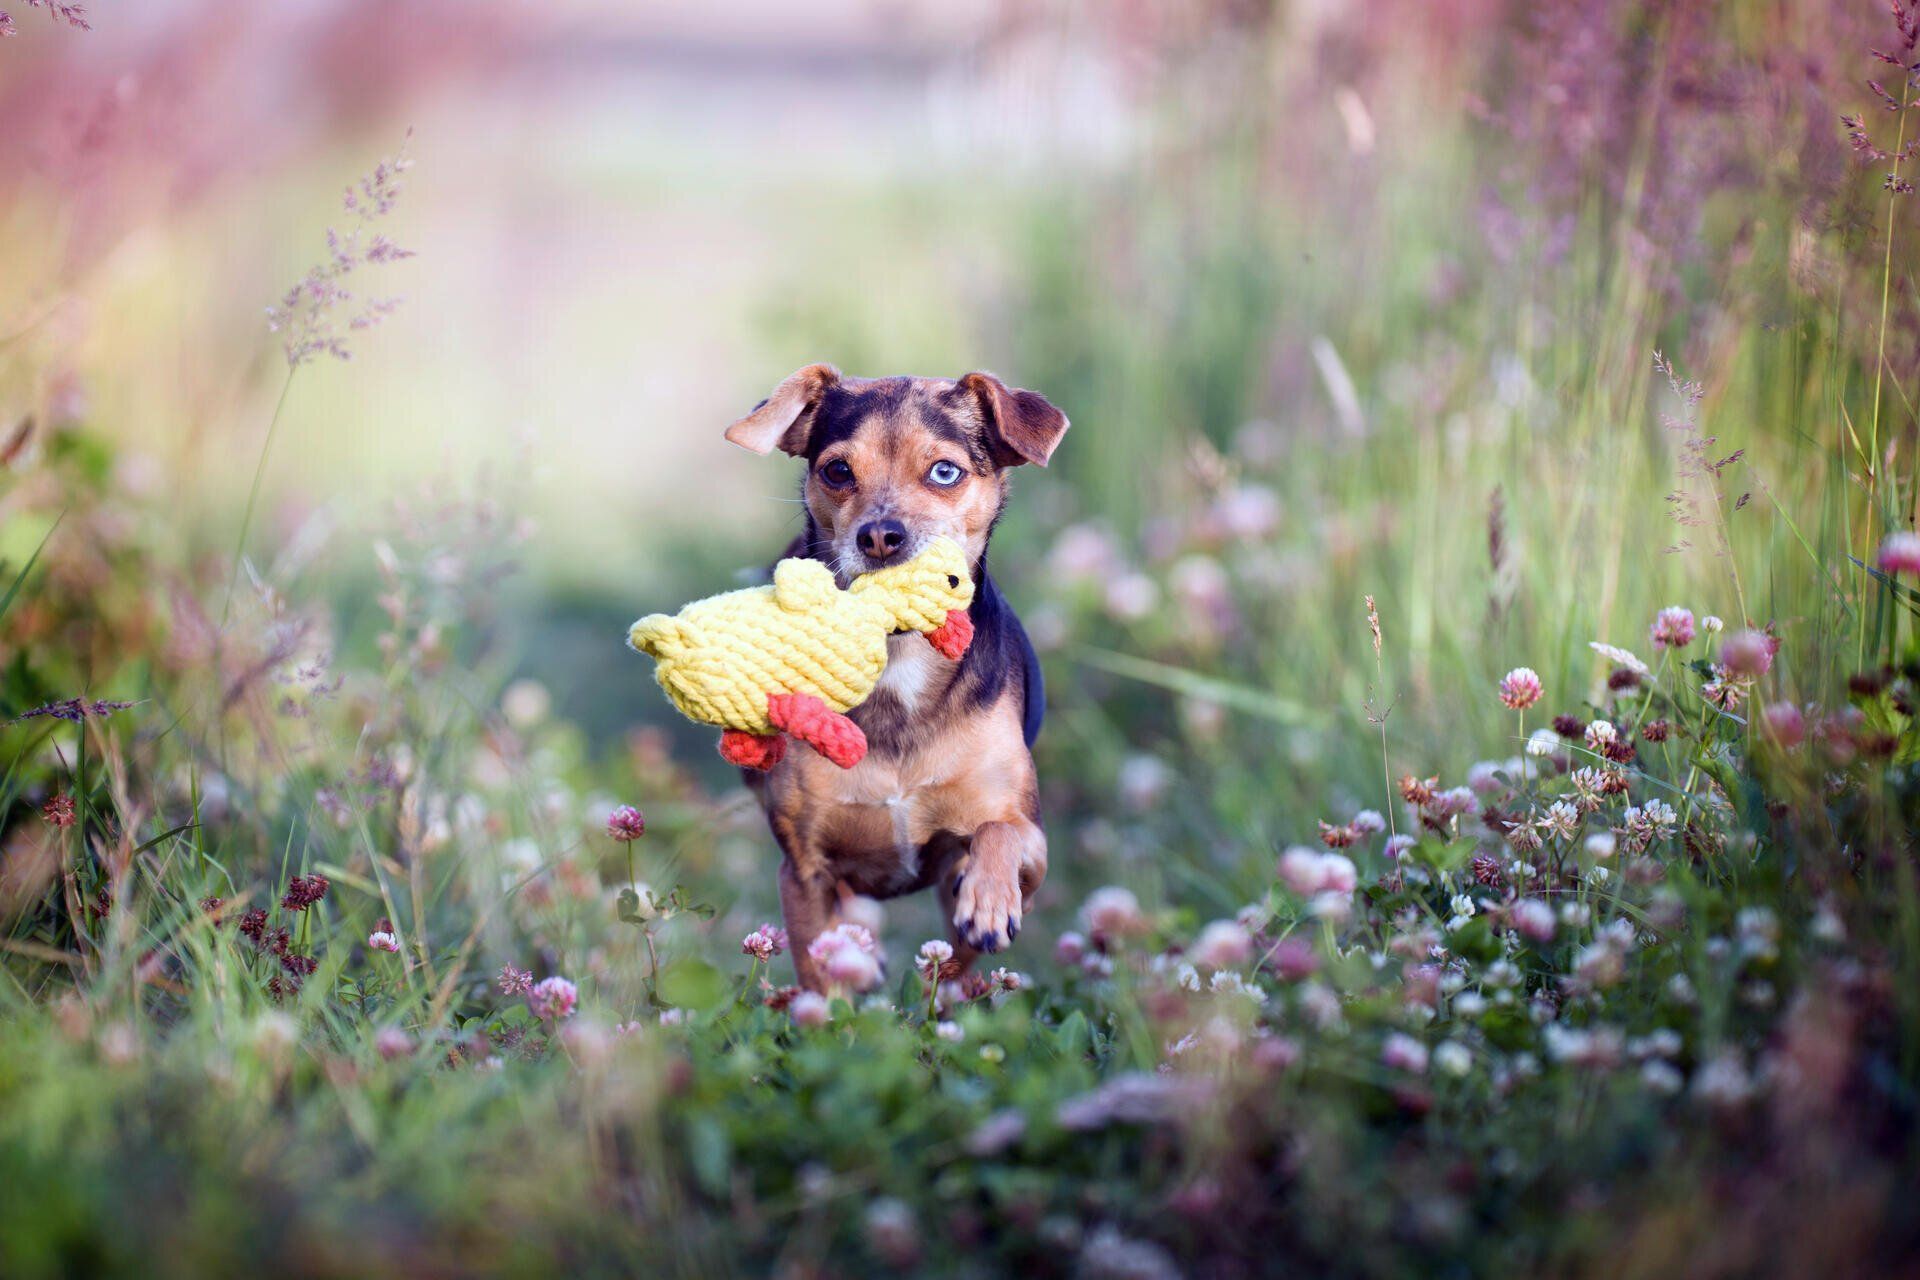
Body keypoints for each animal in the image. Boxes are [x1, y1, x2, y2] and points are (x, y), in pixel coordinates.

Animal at [725, 362, 1075, 990]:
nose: (880, 535)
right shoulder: (803, 872)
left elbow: (999, 834)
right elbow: (819, 984)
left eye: (945, 471)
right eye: (837, 470)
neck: (899, 655)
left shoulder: (1029, 842)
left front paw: (988, 903)